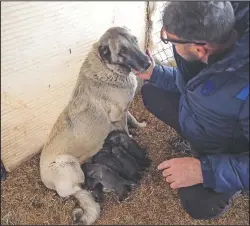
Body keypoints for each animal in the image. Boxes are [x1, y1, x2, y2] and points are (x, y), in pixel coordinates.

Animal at [39, 26, 150, 224]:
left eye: (135, 40)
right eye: (122, 51)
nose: (147, 63)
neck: (108, 68)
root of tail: (45, 179)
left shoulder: (125, 109)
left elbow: (133, 119)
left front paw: (140, 126)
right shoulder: (118, 116)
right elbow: (126, 130)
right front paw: (130, 138)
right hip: (69, 164)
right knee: (81, 191)